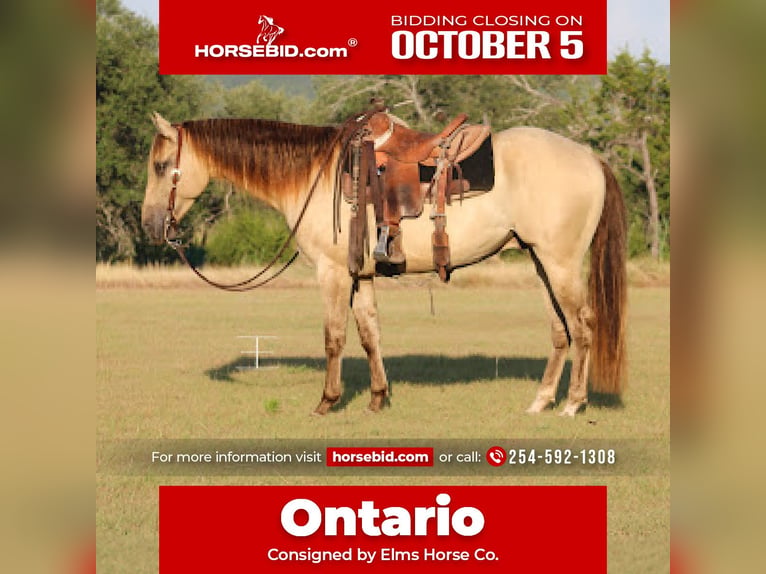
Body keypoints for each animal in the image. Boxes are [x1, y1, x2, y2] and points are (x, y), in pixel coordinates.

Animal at [141, 111, 627, 417]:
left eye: (163, 165)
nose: (150, 224)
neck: (315, 174)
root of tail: (589, 156)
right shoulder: (361, 275)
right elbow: (369, 334)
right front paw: (377, 398)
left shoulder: (333, 274)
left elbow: (334, 338)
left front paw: (327, 401)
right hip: (541, 262)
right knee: (560, 331)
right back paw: (542, 401)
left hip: (561, 264)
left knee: (583, 325)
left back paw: (573, 403)